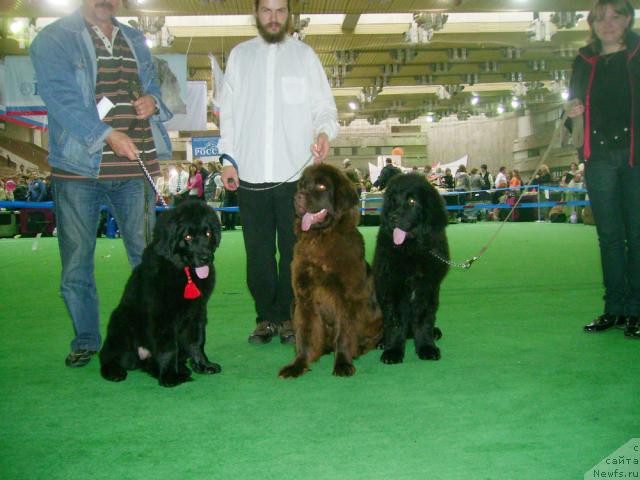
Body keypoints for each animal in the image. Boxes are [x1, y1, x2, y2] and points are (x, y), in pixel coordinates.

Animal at [99, 201, 221, 388]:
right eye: (187, 237)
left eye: (208, 233)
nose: (205, 257)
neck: (185, 274)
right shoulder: (162, 316)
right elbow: (168, 347)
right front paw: (170, 377)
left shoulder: (197, 312)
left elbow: (197, 341)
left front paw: (203, 365)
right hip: (121, 322)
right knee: (108, 356)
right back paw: (115, 372)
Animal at [278, 165, 380, 378]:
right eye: (302, 185)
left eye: (321, 186)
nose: (297, 197)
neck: (320, 238)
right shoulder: (304, 298)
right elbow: (305, 334)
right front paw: (298, 364)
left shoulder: (346, 299)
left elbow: (344, 334)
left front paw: (342, 363)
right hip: (293, 305)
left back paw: (360, 348)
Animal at [370, 172, 450, 364]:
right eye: (392, 201)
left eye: (412, 201)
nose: (393, 217)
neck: (411, 249)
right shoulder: (394, 286)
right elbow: (396, 320)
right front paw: (393, 351)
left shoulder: (427, 287)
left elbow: (423, 319)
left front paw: (426, 347)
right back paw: (383, 341)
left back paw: (434, 333)